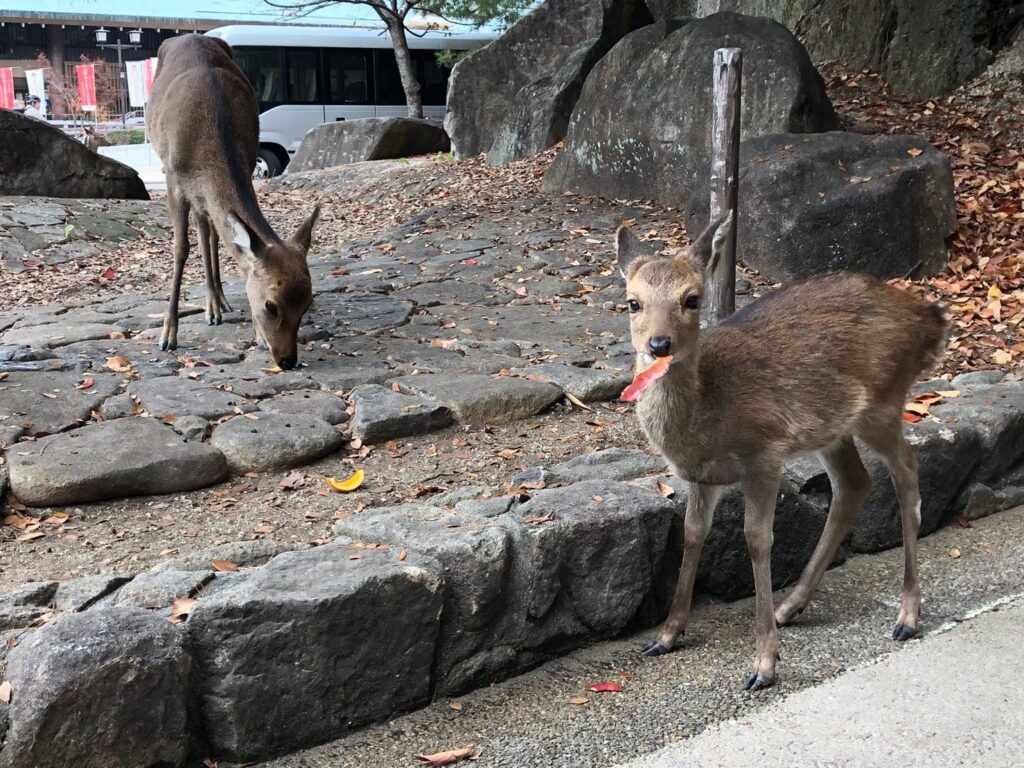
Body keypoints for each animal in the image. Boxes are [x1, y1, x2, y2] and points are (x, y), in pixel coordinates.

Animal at [148, 34, 319, 370]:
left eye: (307, 303)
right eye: (270, 305)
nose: (287, 360)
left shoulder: (248, 163)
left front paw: (256, 334)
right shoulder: (172, 177)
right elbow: (180, 249)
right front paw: (167, 335)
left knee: (212, 231)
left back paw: (218, 302)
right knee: (204, 232)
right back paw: (211, 306)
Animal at [614, 215, 942, 692]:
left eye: (691, 299)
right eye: (633, 302)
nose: (659, 344)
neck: (707, 422)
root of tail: (929, 319)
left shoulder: (764, 453)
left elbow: (757, 539)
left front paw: (763, 665)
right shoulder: (703, 476)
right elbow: (692, 534)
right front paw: (665, 636)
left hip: (883, 402)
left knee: (907, 470)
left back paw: (907, 616)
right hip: (833, 428)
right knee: (854, 483)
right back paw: (792, 606)